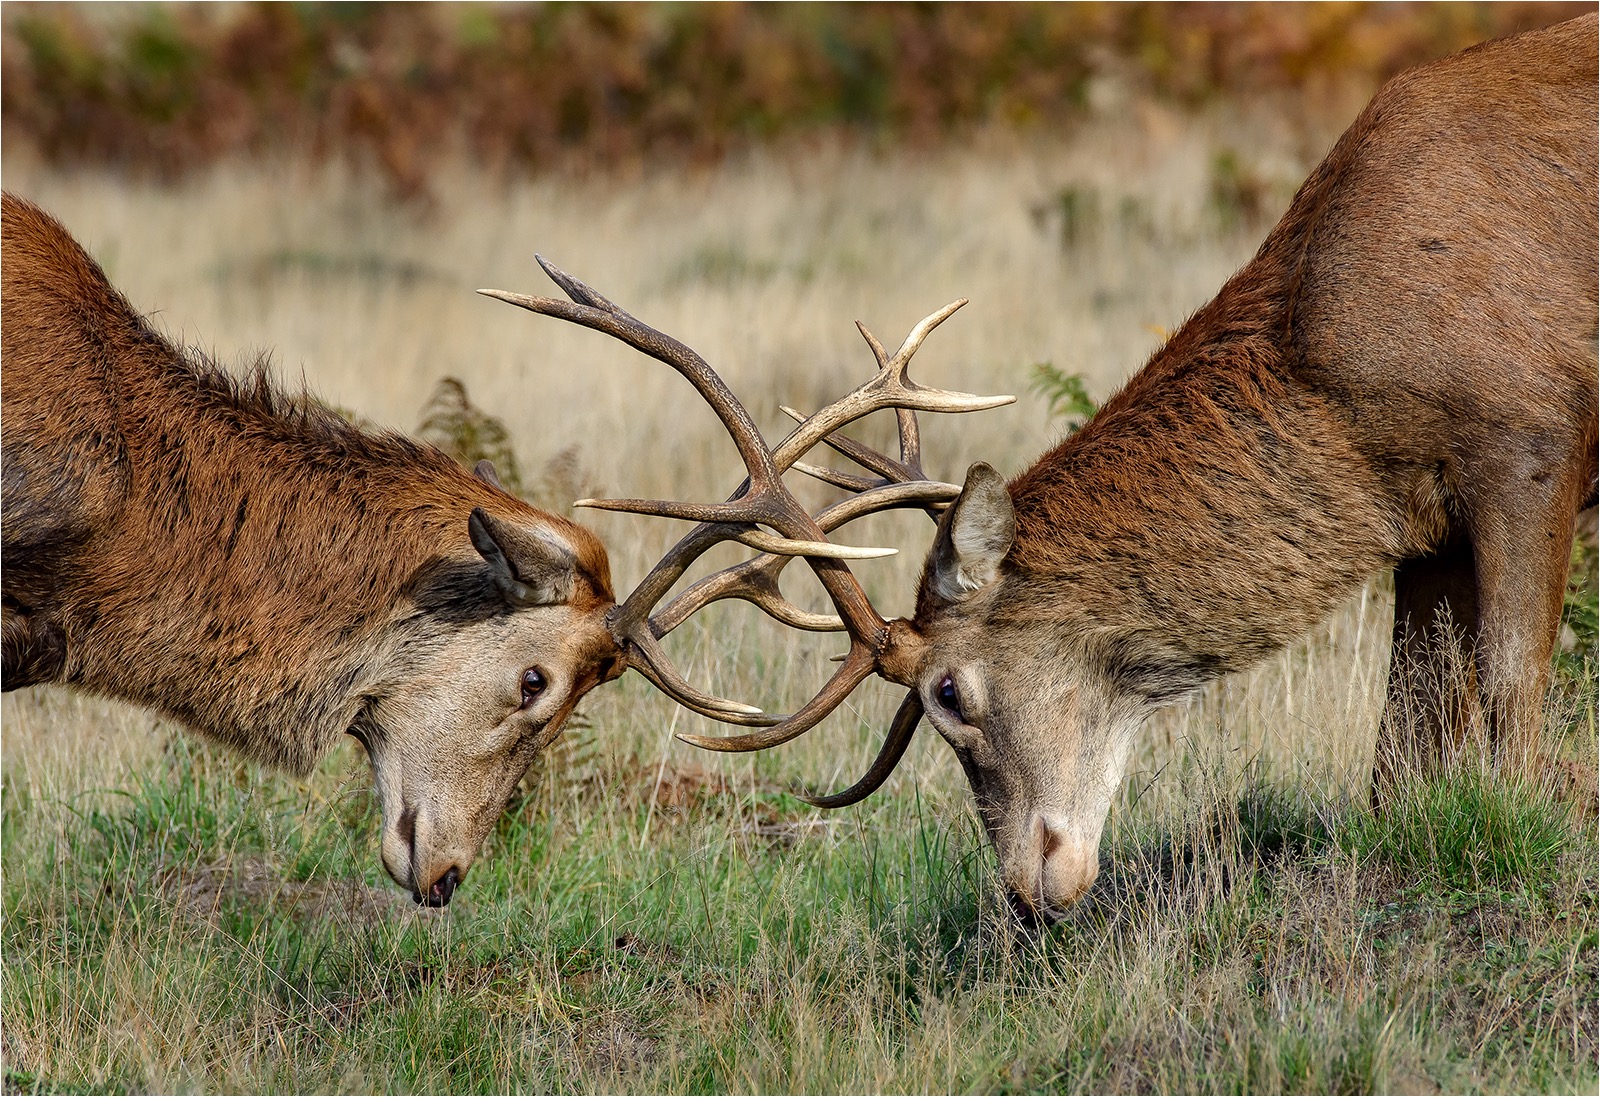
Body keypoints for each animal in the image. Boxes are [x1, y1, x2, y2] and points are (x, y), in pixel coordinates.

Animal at [477, 13, 1597, 923]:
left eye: (950, 694)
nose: (1028, 888)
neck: (1336, 383)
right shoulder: (1423, 523)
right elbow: (1403, 730)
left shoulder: (1528, 434)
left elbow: (1507, 678)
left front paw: (1520, 825)